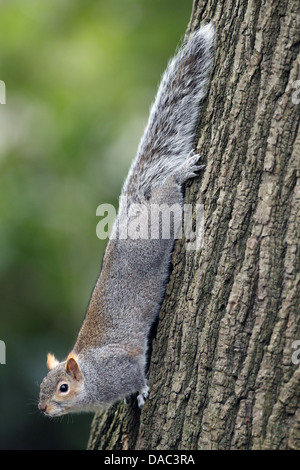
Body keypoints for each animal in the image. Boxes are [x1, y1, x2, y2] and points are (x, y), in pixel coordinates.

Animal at [38, 23, 214, 416]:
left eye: (62, 388)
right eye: (41, 387)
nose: (42, 409)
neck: (92, 378)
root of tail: (127, 216)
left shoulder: (123, 368)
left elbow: (137, 375)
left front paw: (143, 392)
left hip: (159, 227)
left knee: (167, 194)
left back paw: (180, 173)